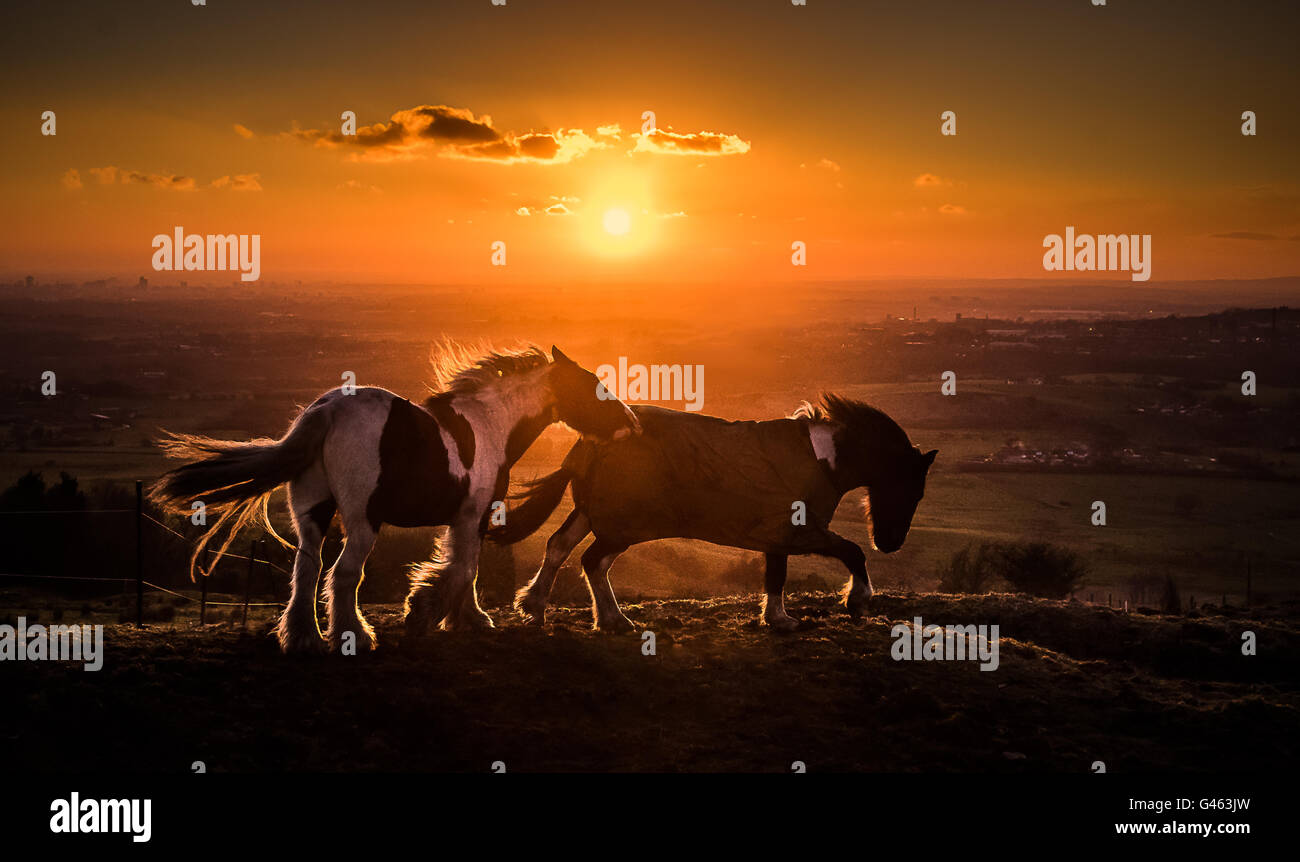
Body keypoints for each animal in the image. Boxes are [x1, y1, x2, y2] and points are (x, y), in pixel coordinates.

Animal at [147, 343, 639, 655]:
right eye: (593, 386)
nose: (632, 423)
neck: (490, 424)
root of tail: (328, 410)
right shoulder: (474, 515)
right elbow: (464, 568)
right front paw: (429, 613)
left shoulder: (461, 519)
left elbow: (463, 566)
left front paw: (462, 617)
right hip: (363, 521)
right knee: (344, 575)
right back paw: (355, 637)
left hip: (312, 515)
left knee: (306, 571)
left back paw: (304, 638)